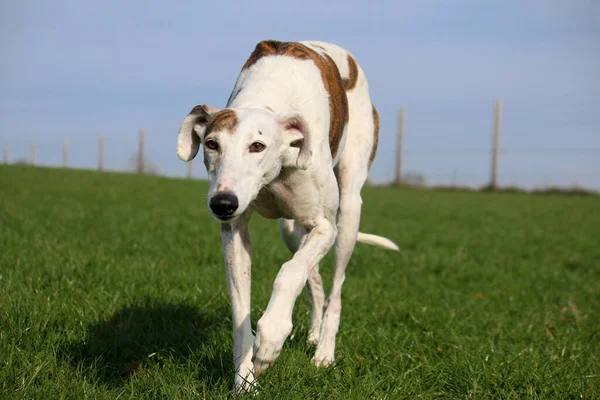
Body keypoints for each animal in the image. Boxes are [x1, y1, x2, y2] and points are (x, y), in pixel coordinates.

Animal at [177, 40, 398, 390]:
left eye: (257, 145)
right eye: (211, 144)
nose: (222, 204)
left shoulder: (324, 226)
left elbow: (289, 273)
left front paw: (270, 340)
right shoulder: (235, 232)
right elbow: (241, 308)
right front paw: (245, 379)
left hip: (347, 213)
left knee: (334, 288)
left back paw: (324, 352)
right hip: (290, 228)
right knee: (315, 279)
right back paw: (313, 335)